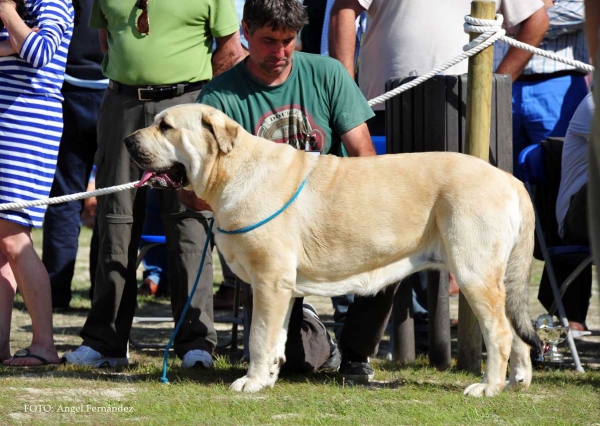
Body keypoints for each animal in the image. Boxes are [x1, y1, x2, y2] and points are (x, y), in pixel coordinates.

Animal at [124, 103, 540, 396]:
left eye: (165, 126)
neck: (231, 170)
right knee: (517, 331)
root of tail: (511, 180)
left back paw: (488, 386)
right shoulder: (280, 288)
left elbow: (258, 336)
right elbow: (274, 338)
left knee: (500, 332)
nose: (128, 141)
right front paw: (267, 377)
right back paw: (517, 381)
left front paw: (252, 382)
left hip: (474, 273)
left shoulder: (269, 281)